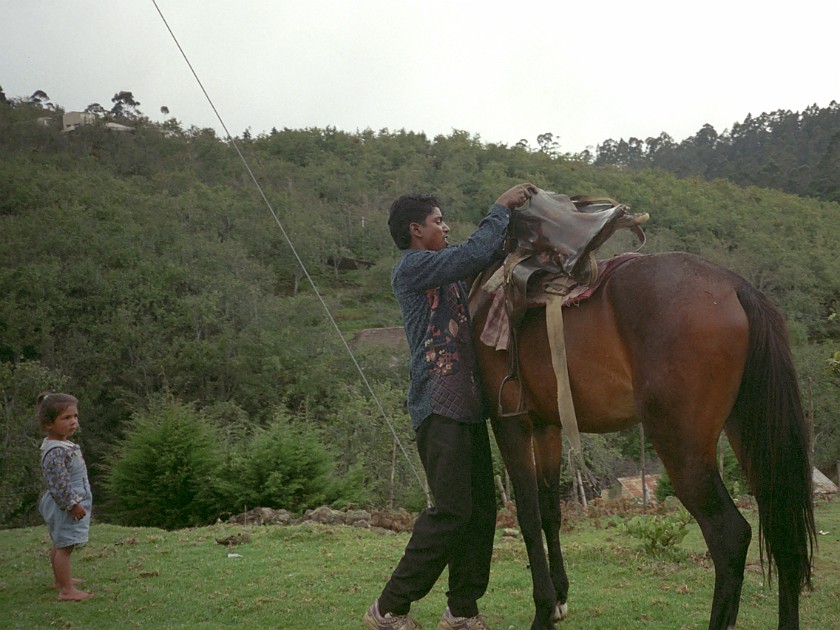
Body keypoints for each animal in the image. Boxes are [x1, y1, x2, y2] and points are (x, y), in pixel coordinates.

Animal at [472, 252, 812, 630]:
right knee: (783, 531)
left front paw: (544, 611)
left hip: (683, 449)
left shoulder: (509, 424)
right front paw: (559, 598)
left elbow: (529, 518)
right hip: (752, 436)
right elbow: (550, 513)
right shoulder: (548, 426)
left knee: (730, 537)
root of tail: (735, 286)